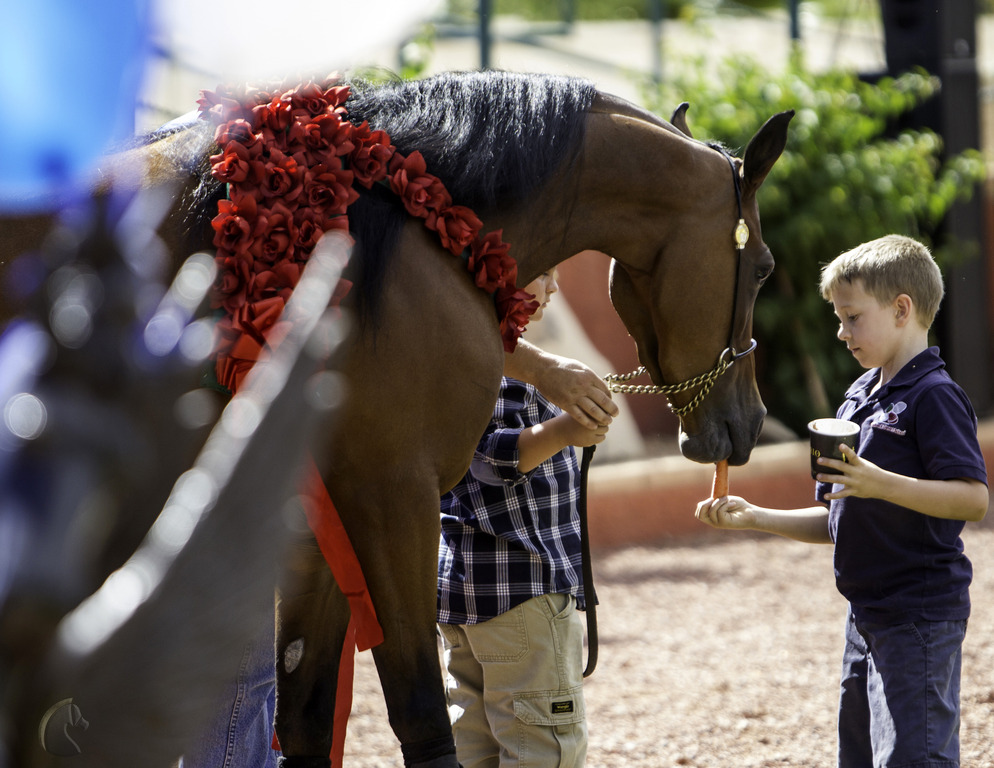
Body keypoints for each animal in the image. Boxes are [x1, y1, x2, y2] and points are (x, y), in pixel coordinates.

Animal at [2, 70, 791, 767]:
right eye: (763, 269)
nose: (749, 423)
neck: (418, 230)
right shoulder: (391, 498)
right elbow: (422, 716)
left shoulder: (316, 526)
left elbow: (307, 717)